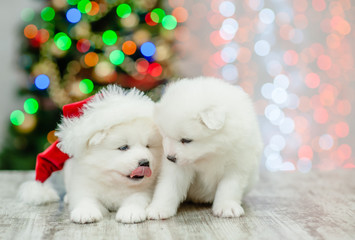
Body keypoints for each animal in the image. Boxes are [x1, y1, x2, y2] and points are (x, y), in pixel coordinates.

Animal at [18, 85, 163, 224]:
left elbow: (136, 199)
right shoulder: (83, 185)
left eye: (148, 146)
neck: (112, 181)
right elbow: (85, 199)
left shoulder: (145, 190)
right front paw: (85, 213)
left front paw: (131, 212)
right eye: (123, 147)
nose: (145, 162)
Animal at [146, 77, 262, 219]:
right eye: (164, 135)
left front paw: (227, 207)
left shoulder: (237, 164)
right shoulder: (176, 168)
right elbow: (168, 186)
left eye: (186, 140)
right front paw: (159, 208)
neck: (210, 152)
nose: (170, 158)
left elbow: (229, 187)